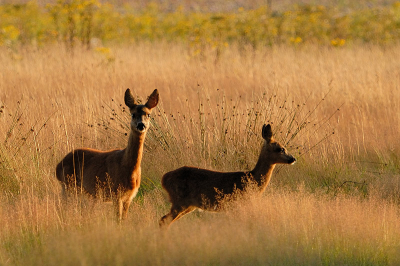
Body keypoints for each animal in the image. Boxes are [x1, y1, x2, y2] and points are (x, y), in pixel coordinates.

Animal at [56, 88, 159, 220]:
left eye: (148, 114)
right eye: (133, 114)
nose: (141, 125)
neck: (128, 168)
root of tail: (57, 167)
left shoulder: (129, 197)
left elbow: (123, 219)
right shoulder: (115, 192)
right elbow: (118, 220)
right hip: (68, 185)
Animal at [160, 123, 296, 228]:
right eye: (280, 148)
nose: (293, 159)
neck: (252, 178)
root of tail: (164, 178)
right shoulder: (237, 203)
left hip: (188, 205)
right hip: (180, 200)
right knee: (163, 220)